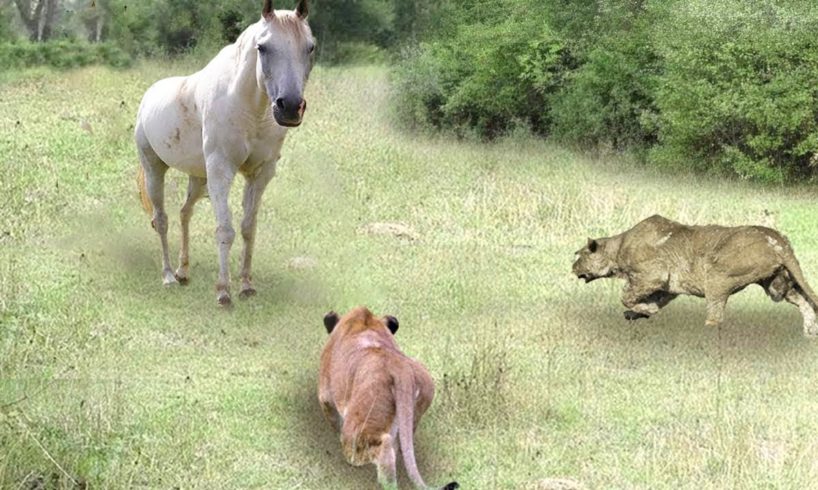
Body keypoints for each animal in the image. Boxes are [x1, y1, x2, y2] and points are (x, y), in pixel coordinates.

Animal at [134, 0, 312, 306]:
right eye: (263, 47)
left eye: (310, 47)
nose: (289, 107)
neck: (250, 109)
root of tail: (148, 96)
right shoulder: (221, 170)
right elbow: (225, 229)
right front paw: (223, 291)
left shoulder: (260, 173)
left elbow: (248, 228)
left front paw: (247, 285)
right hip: (154, 169)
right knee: (162, 219)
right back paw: (168, 275)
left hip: (199, 179)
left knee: (184, 213)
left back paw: (183, 272)